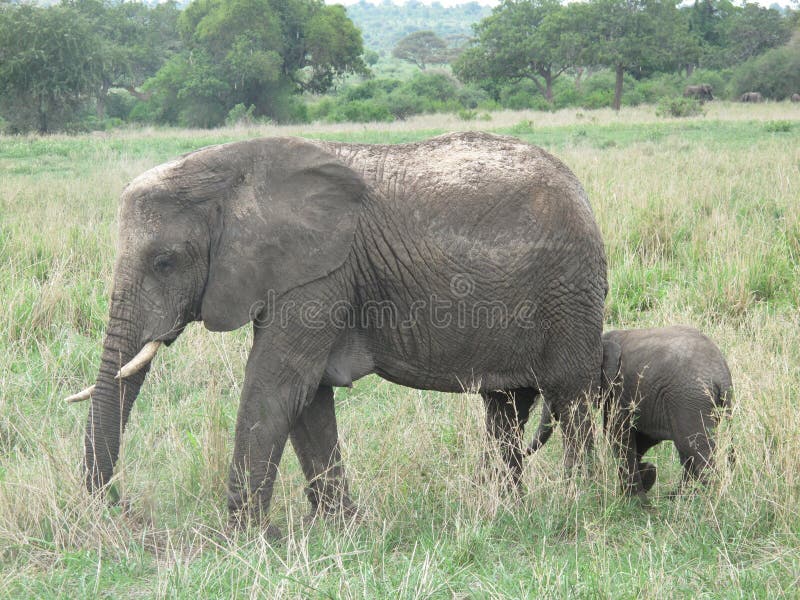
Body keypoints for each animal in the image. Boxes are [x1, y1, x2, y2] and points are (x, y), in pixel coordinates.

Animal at [67, 132, 608, 536]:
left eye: (165, 262)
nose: (122, 509)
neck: (228, 171)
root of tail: (580, 189)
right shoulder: (300, 274)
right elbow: (309, 397)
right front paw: (345, 528)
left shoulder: (321, 273)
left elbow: (277, 381)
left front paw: (242, 539)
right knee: (506, 406)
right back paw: (499, 510)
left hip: (569, 292)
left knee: (570, 398)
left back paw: (579, 503)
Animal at [528, 328, 736, 496]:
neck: (601, 341)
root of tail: (723, 376)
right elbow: (642, 438)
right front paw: (646, 475)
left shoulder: (619, 391)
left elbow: (617, 435)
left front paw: (633, 498)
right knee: (688, 451)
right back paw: (677, 498)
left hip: (689, 401)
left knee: (694, 450)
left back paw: (700, 502)